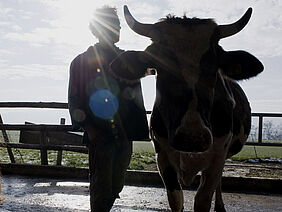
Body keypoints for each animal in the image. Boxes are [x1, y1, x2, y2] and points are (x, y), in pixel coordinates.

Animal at [109, 5, 264, 211]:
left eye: (213, 68)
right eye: (160, 66)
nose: (192, 137)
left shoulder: (217, 158)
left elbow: (203, 199)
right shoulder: (162, 157)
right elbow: (176, 199)